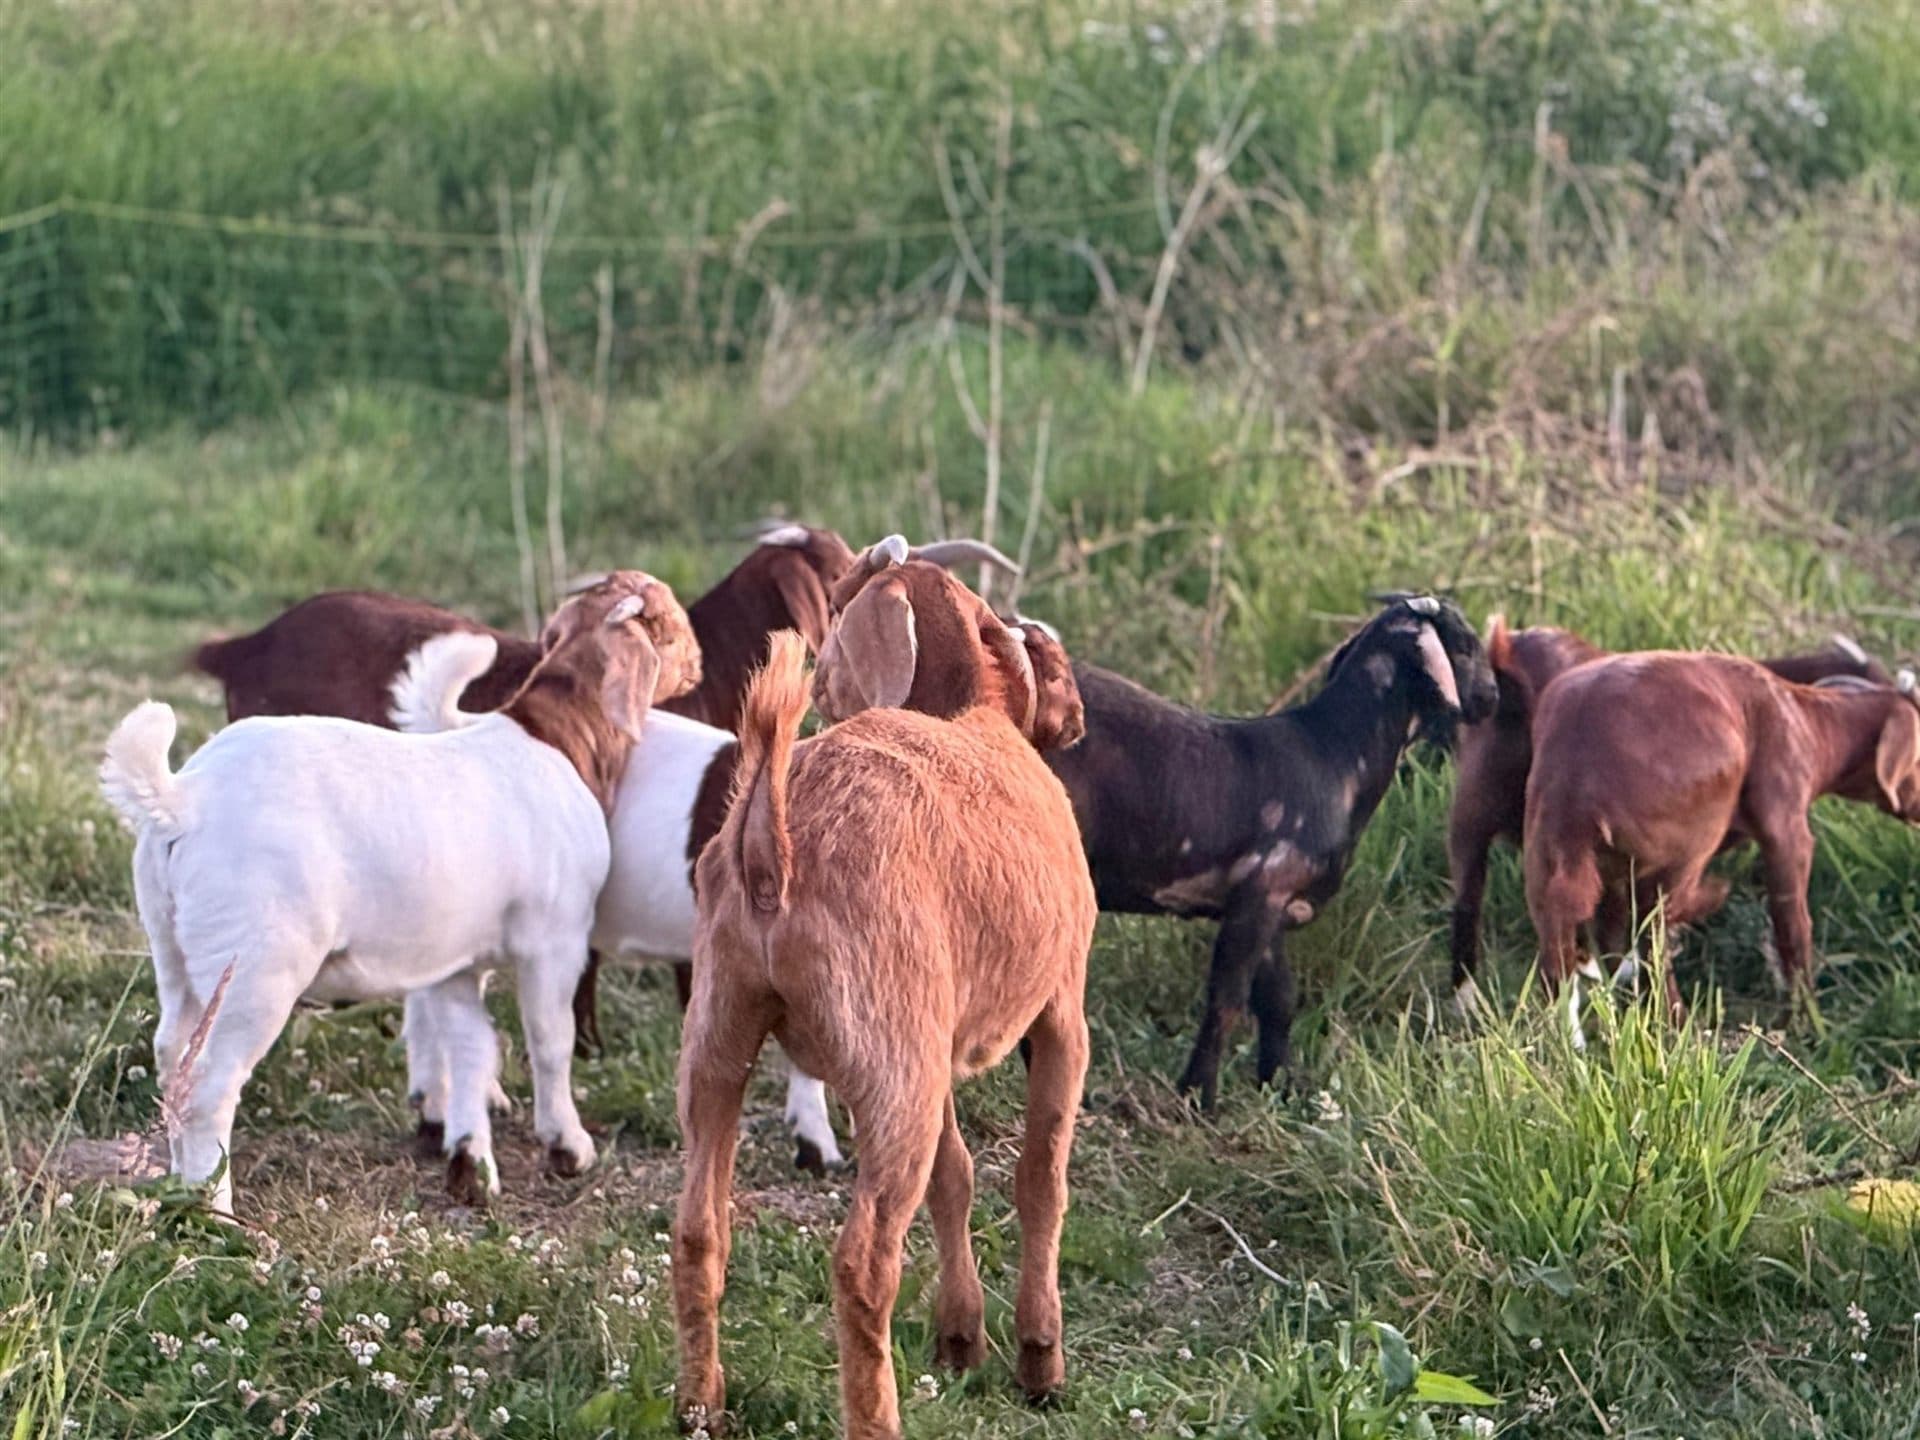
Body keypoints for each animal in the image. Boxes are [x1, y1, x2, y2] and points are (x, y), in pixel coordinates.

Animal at [99, 573, 696, 1214]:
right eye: (668, 621)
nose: (698, 667)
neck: (557, 735)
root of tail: (183, 799)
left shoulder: (457, 962)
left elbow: (471, 1048)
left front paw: (468, 1159)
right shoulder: (555, 937)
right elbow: (550, 1039)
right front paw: (568, 1147)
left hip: (174, 948)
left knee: (172, 1059)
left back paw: (179, 1190)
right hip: (255, 962)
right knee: (210, 1084)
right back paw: (217, 1209)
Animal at [674, 564, 1092, 1439]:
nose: (1076, 717)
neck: (972, 714)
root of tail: (771, 849)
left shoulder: (937, 1042)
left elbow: (954, 1174)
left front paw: (961, 1339)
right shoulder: (1061, 1012)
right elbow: (1040, 1178)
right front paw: (1040, 1361)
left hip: (722, 1038)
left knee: (699, 1231)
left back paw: (701, 1406)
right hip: (889, 1062)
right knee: (863, 1262)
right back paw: (878, 1418)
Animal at [1045, 596, 1499, 1107]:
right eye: (1465, 644)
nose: (1492, 695)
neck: (1333, 756)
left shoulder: (1276, 900)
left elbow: (1279, 999)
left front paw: (1279, 1084)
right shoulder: (1262, 889)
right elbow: (1227, 999)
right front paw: (1198, 1096)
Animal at [1523, 654, 1920, 1034]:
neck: (1811, 726)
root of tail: (1576, 797)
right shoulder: (1786, 821)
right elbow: (1792, 921)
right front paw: (1803, 1019)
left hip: (1550, 853)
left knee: (1574, 946)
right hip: (1687, 833)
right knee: (1655, 926)